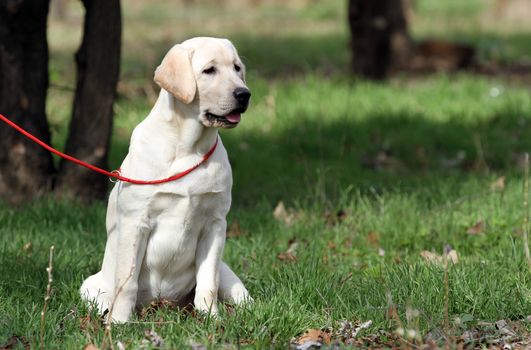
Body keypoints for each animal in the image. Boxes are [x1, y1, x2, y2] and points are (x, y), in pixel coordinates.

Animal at [79, 36, 254, 322]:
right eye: (209, 70)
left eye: (237, 68)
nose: (244, 94)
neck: (188, 148)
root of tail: (162, 304)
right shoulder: (136, 222)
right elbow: (127, 282)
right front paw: (119, 322)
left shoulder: (215, 223)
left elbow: (208, 280)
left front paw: (212, 319)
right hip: (90, 287)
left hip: (227, 271)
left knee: (237, 293)